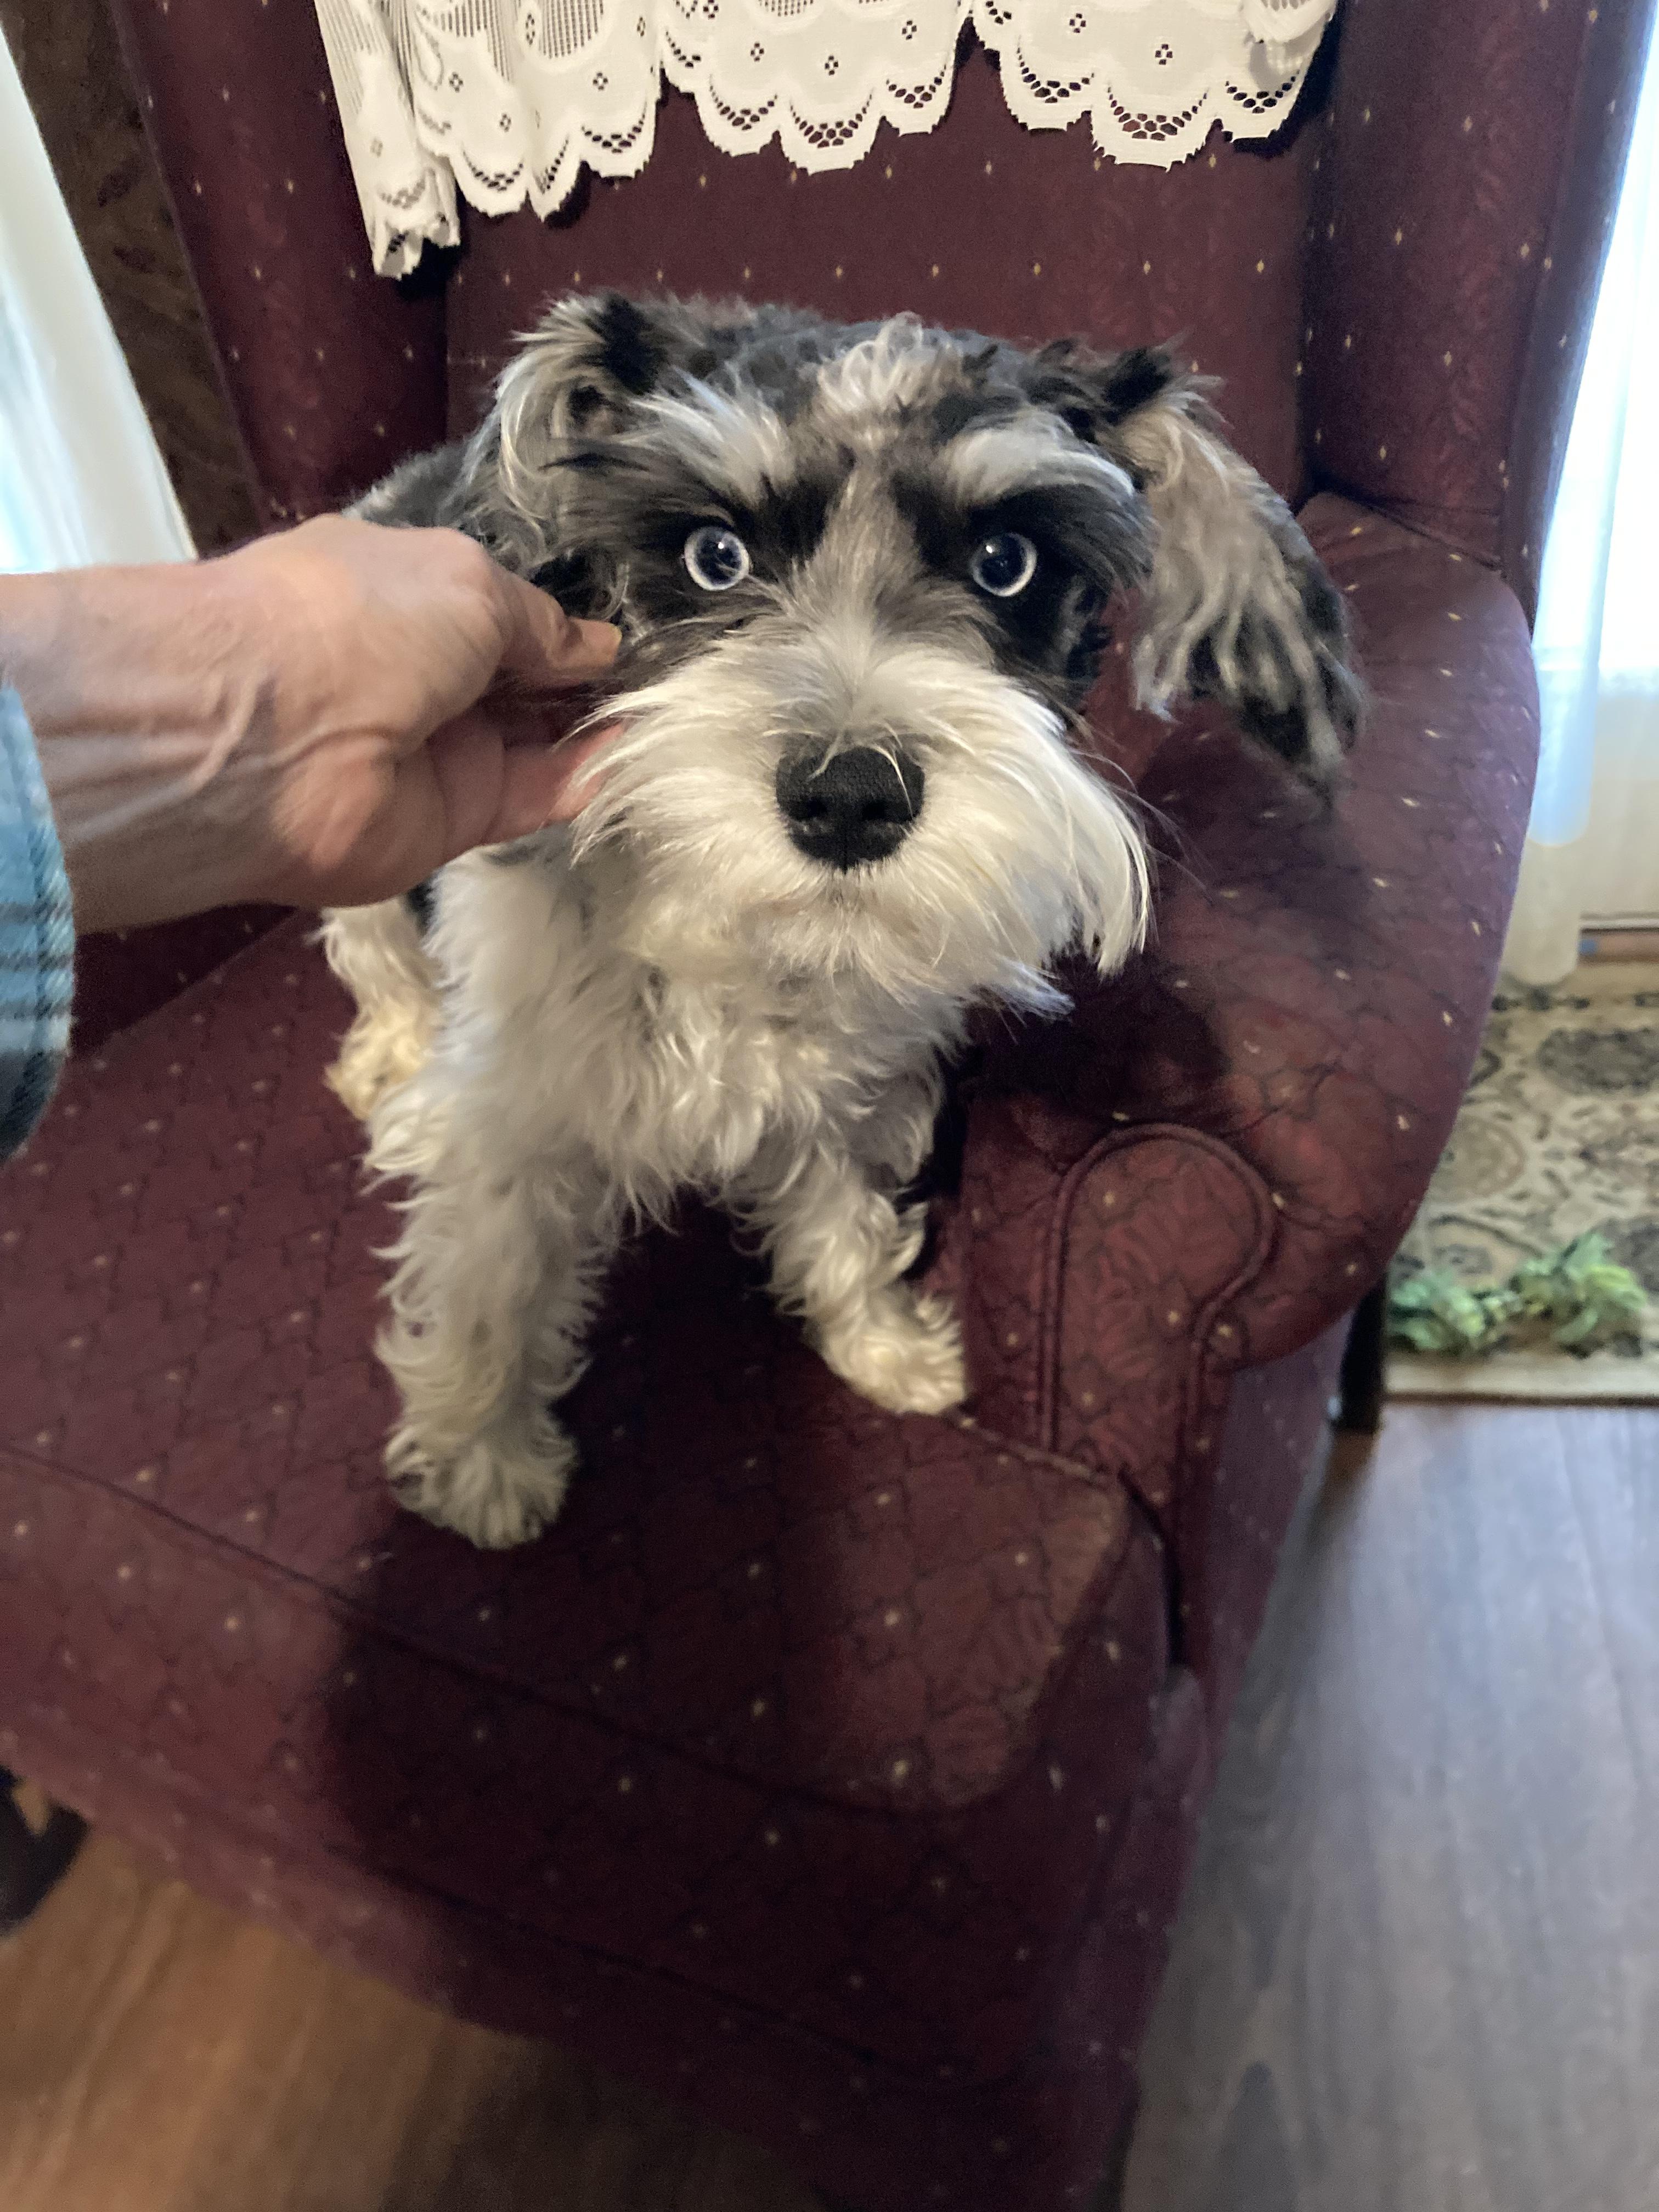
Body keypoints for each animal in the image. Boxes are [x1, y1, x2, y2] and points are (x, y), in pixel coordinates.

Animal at [321, 292, 1361, 1549]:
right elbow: (495, 1279)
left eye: (1006, 563)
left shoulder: (841, 1093)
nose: (851, 796)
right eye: (713, 556)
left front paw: (882, 1345)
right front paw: (484, 1462)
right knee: (378, 962)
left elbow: (842, 1218)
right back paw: (394, 1067)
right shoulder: (519, 1111)